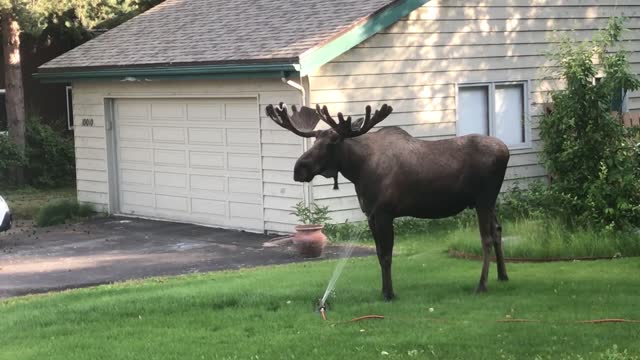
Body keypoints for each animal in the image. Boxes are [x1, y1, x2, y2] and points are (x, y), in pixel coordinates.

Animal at [264, 102, 510, 300]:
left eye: (333, 141)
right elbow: (379, 254)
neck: (358, 170)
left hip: (484, 199)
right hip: (489, 201)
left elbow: (387, 254)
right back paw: (503, 275)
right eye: (315, 139)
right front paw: (383, 290)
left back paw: (482, 285)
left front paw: (390, 293)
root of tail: (506, 151)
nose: (299, 168)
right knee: (498, 230)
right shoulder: (370, 214)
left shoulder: (385, 212)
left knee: (486, 238)